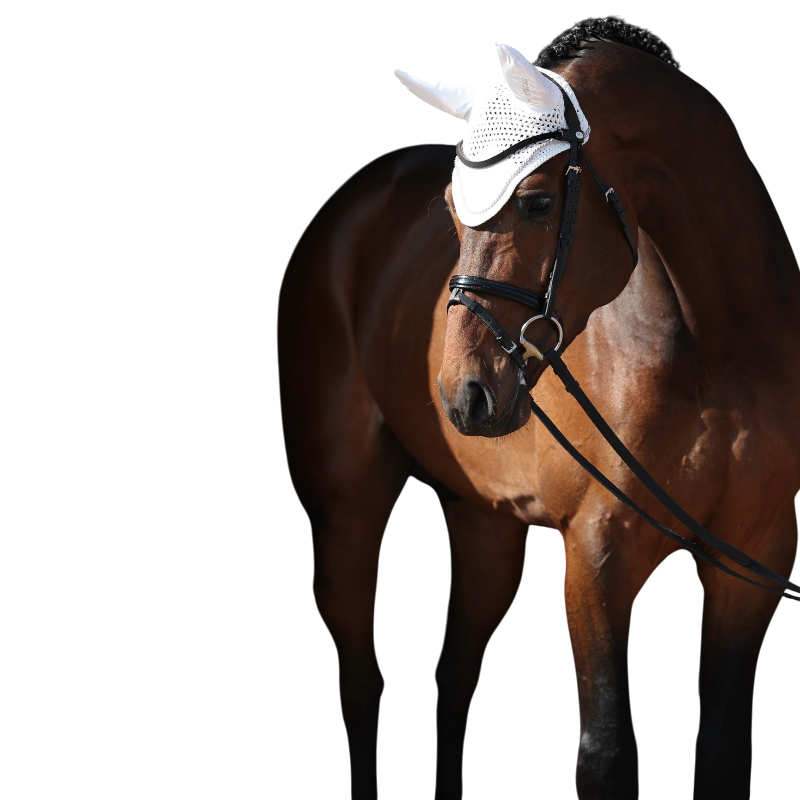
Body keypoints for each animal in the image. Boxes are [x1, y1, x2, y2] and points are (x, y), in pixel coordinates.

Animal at [278, 20, 799, 800]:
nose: (463, 394)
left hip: (483, 519)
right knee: (361, 684)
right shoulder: (596, 554)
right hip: (350, 507)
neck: (718, 347)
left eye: (537, 203)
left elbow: (722, 751)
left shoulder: (754, 560)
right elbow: (605, 753)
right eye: (452, 210)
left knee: (455, 678)